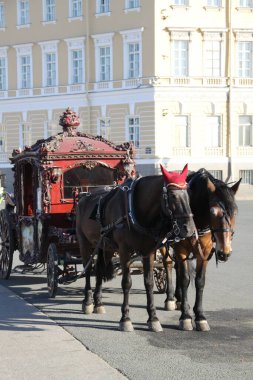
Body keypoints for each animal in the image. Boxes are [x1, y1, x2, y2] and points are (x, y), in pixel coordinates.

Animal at [76, 165, 197, 332]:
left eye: (188, 195)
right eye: (172, 196)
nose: (190, 229)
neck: (136, 210)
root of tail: (83, 197)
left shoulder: (148, 252)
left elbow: (149, 282)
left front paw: (153, 318)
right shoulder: (124, 251)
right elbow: (126, 283)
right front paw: (125, 319)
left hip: (104, 246)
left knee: (99, 269)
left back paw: (98, 303)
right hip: (85, 243)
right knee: (88, 270)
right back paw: (87, 301)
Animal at [159, 170, 240, 332]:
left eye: (234, 212)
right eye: (212, 211)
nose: (224, 252)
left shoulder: (205, 251)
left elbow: (200, 281)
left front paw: (200, 316)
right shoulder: (181, 250)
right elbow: (185, 279)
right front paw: (185, 317)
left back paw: (179, 299)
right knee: (168, 264)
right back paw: (170, 298)